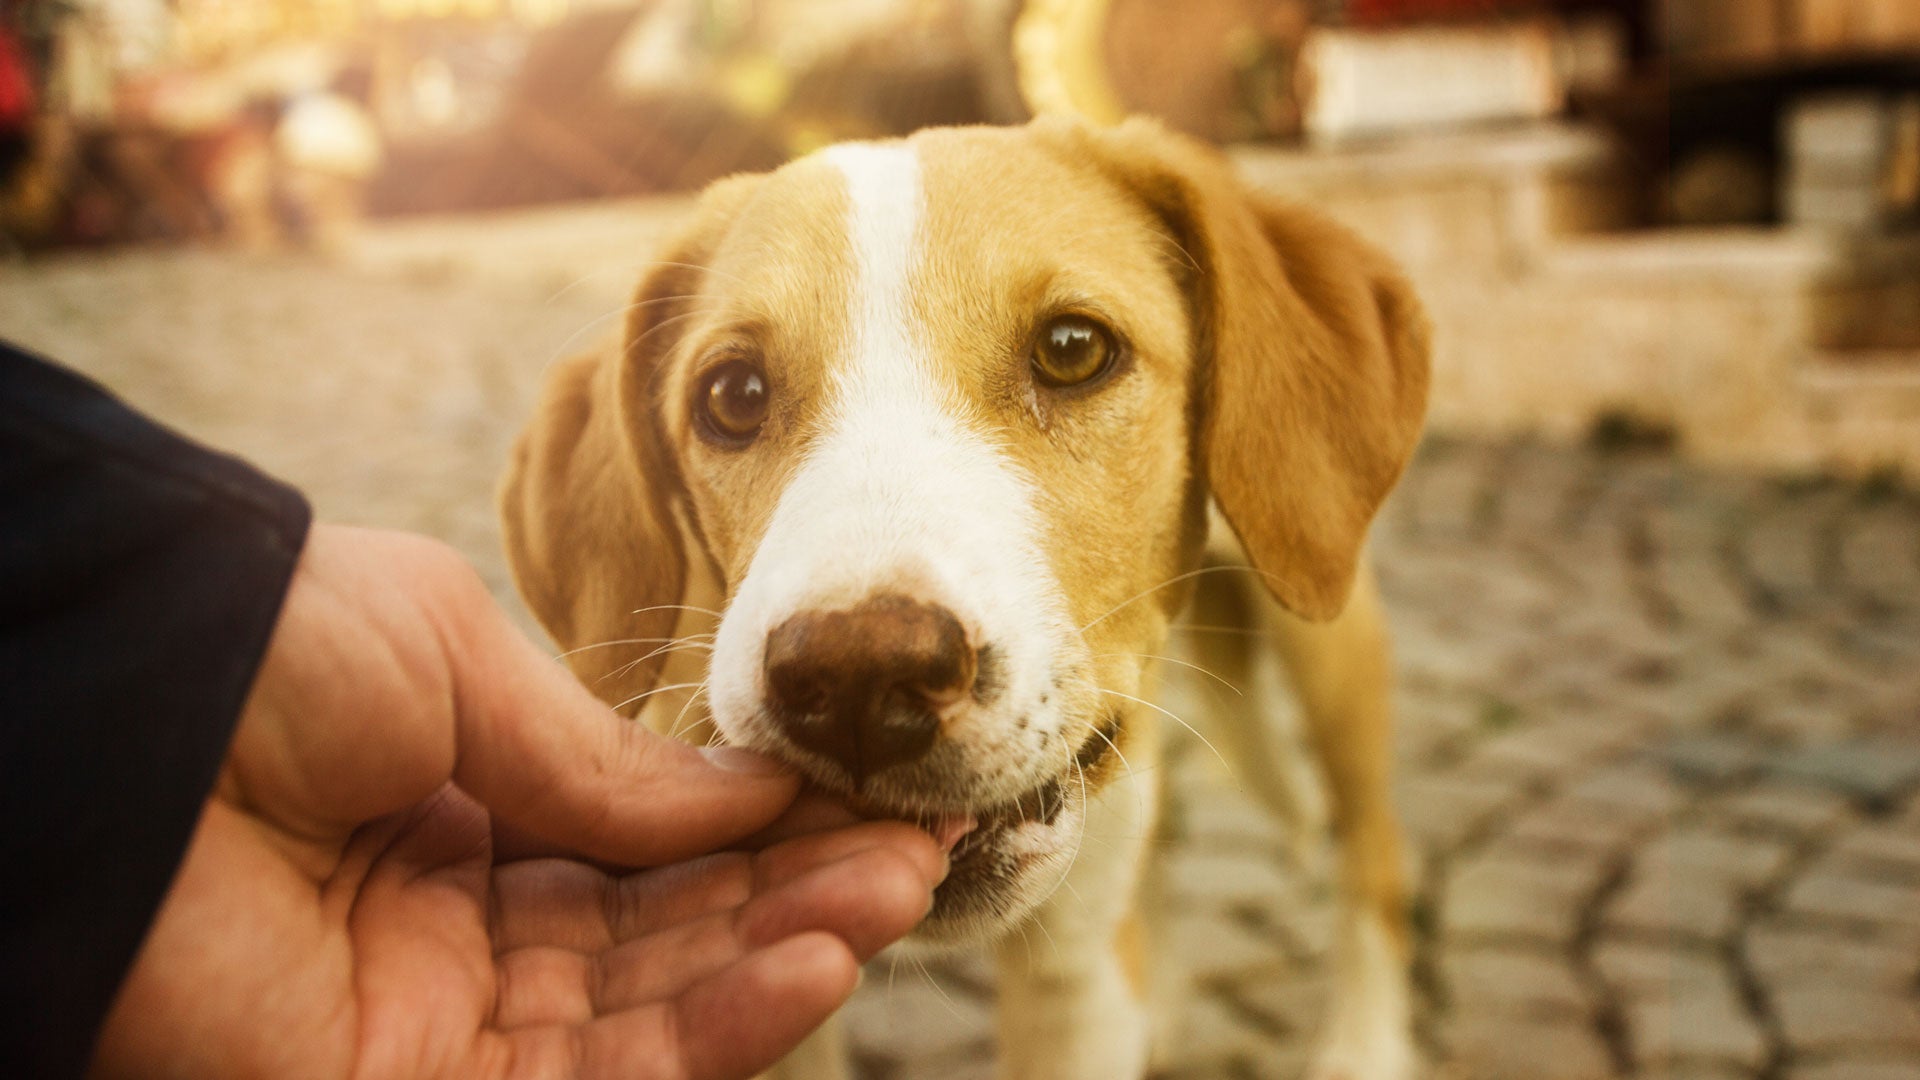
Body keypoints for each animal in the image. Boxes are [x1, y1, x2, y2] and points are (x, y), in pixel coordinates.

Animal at [503, 113, 1436, 1068]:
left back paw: (1362, 1045)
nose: (859, 681)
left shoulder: (1072, 978)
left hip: (1328, 630)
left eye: (1073, 349)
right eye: (733, 394)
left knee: (1375, 850)